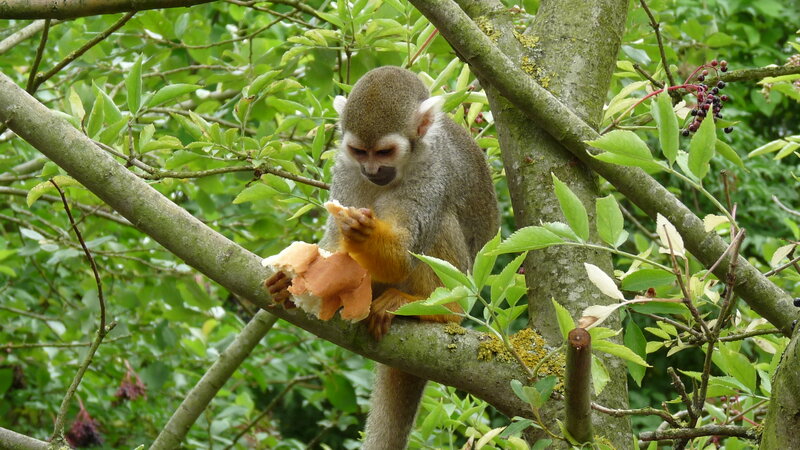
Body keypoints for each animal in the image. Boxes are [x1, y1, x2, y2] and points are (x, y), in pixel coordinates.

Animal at [267, 66, 498, 449]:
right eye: (360, 152)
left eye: (385, 152)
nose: (372, 172)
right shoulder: (345, 167)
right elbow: (335, 242)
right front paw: (293, 277)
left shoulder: (432, 171)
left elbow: (405, 250)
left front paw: (364, 233)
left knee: (441, 221)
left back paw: (432, 308)